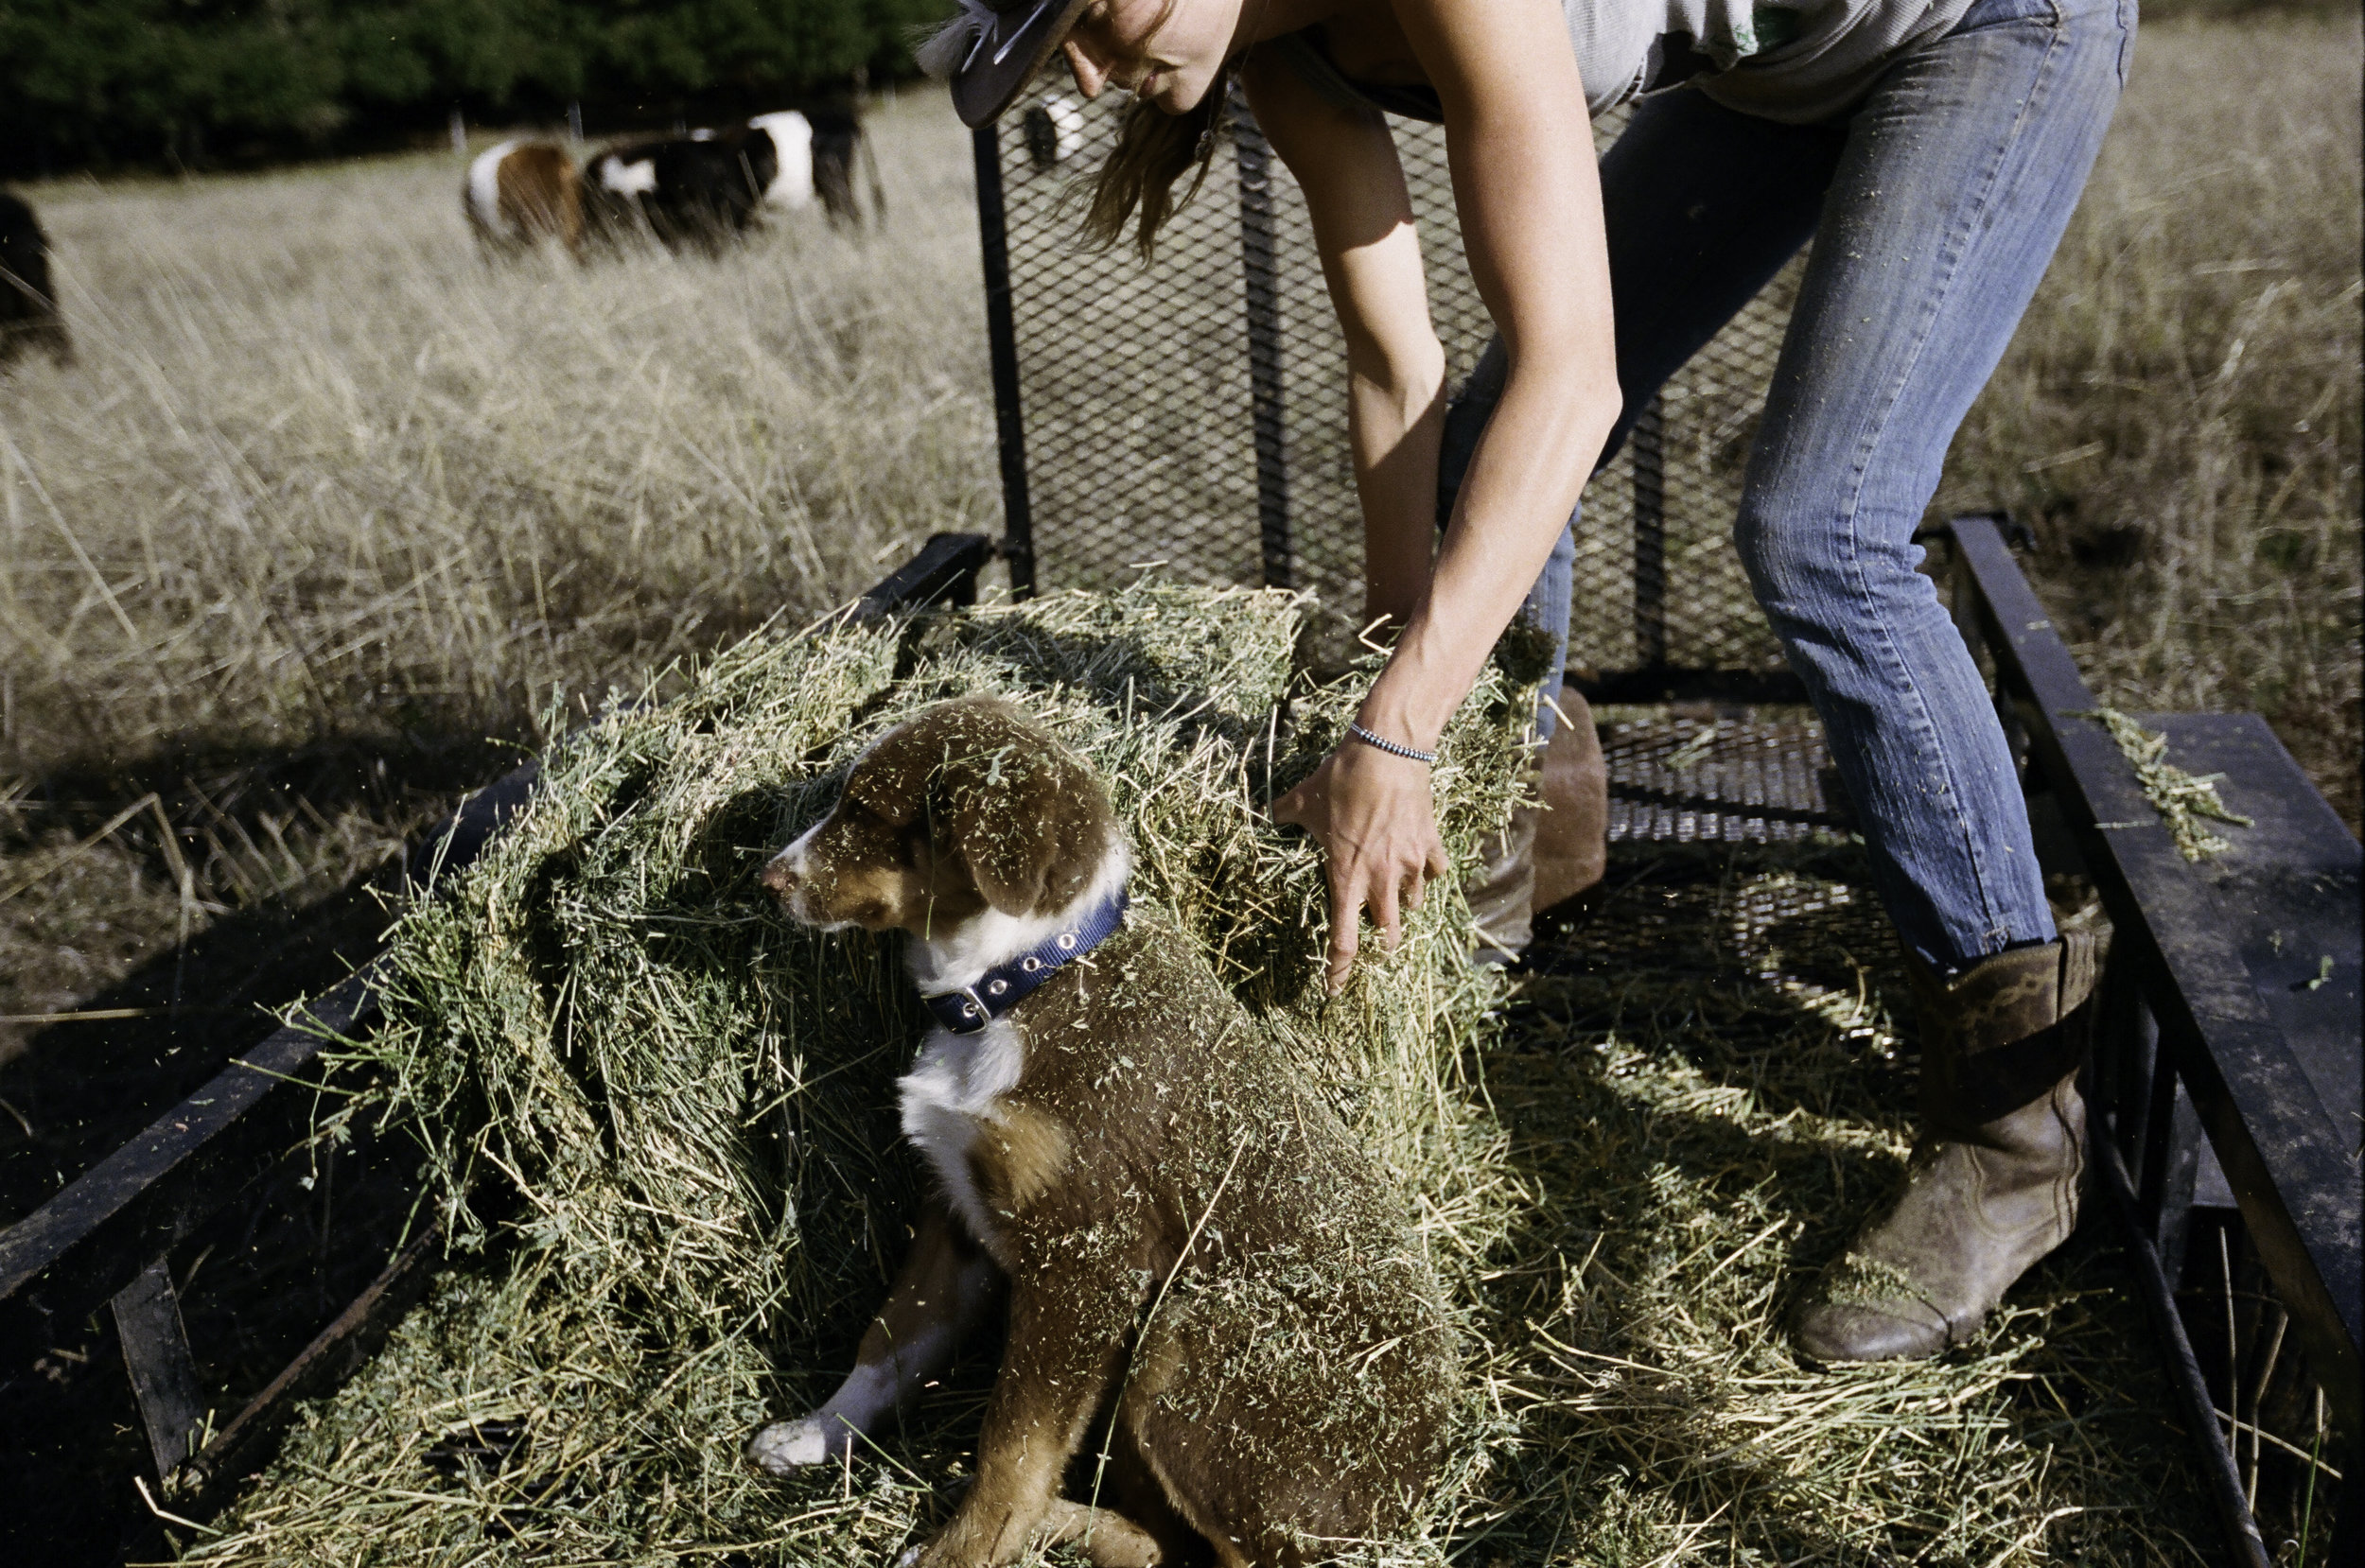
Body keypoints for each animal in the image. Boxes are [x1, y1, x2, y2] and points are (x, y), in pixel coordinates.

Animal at [757, 700, 1457, 1568]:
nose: (767, 879)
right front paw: (814, 1434)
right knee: (1166, 1544)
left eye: (863, 812)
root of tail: (1414, 1496)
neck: (1020, 982)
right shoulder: (959, 1212)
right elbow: (889, 1342)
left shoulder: (1088, 1260)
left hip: (1188, 1336)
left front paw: (965, 1550)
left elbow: (1013, 1447)